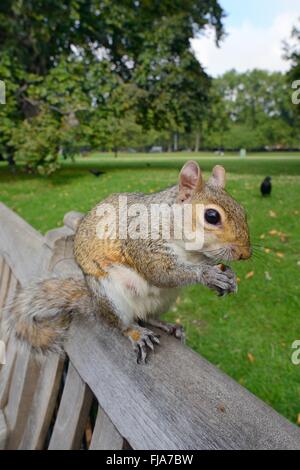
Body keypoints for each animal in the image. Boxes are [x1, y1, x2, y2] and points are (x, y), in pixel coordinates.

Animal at [5, 162, 252, 364]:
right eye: (212, 216)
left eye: (243, 211)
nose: (245, 254)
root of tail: (96, 306)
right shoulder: (141, 242)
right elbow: (160, 272)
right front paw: (208, 275)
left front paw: (229, 276)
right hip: (110, 296)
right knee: (122, 325)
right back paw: (137, 333)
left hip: (166, 299)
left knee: (149, 316)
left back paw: (168, 325)